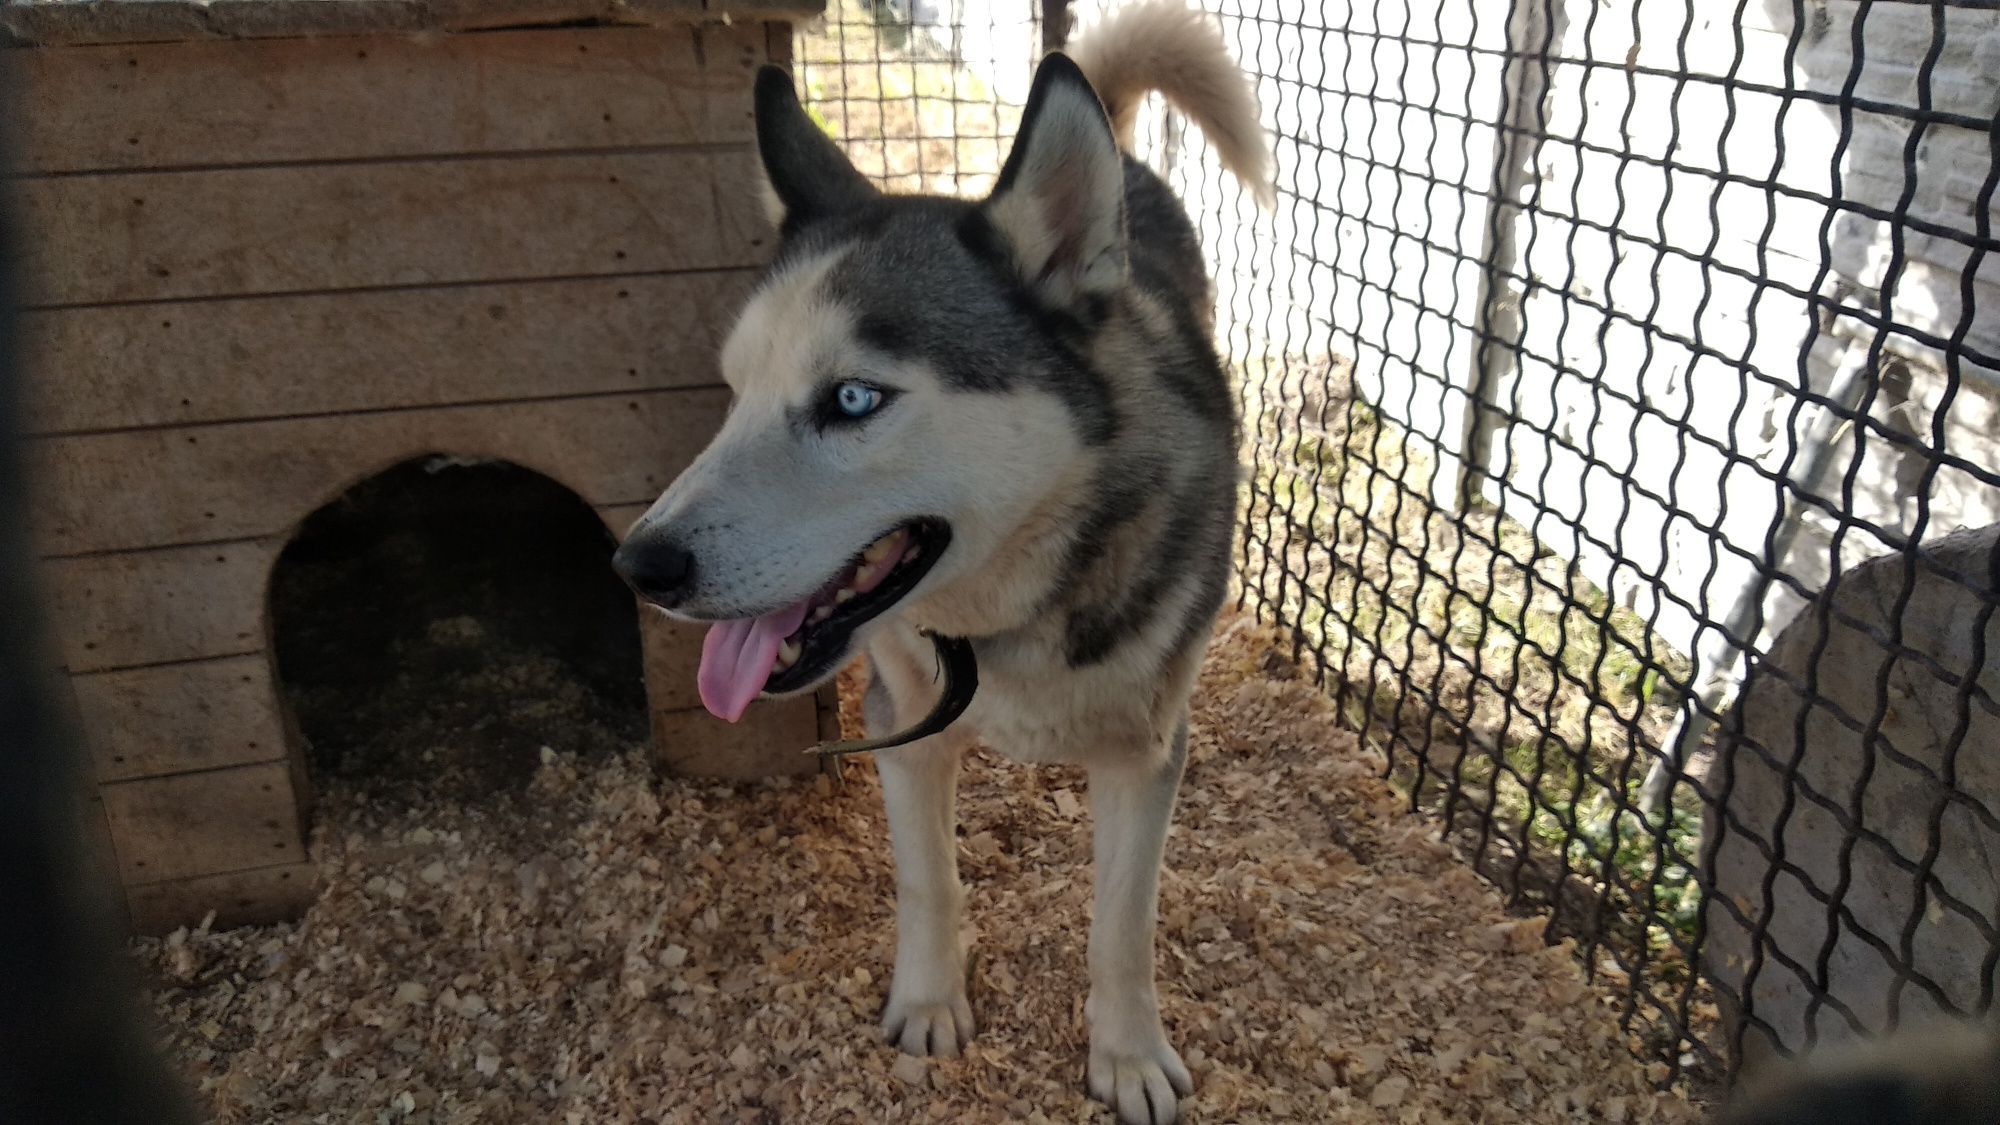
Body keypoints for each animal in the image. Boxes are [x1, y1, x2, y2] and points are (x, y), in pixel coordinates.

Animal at [612, 4, 1264, 1112]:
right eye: (735, 391)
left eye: (852, 399)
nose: (638, 566)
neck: (1008, 613)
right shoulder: (902, 727)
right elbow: (929, 881)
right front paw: (928, 1003)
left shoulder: (1146, 753)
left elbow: (1121, 929)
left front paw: (1128, 1053)